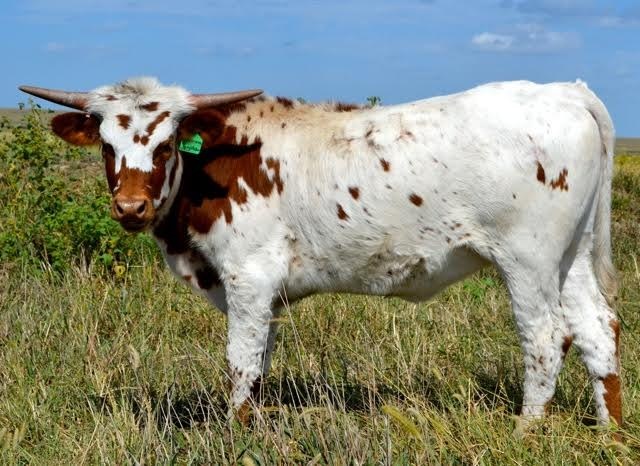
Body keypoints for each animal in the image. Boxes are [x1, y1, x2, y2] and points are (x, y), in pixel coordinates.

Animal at [20, 77, 620, 430]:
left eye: (166, 144)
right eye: (107, 145)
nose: (130, 206)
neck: (216, 161)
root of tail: (564, 90)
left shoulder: (248, 277)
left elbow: (241, 363)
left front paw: (236, 434)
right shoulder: (264, 294)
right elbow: (259, 363)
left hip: (527, 258)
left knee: (546, 336)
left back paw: (527, 430)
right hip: (571, 255)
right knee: (597, 327)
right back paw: (610, 434)